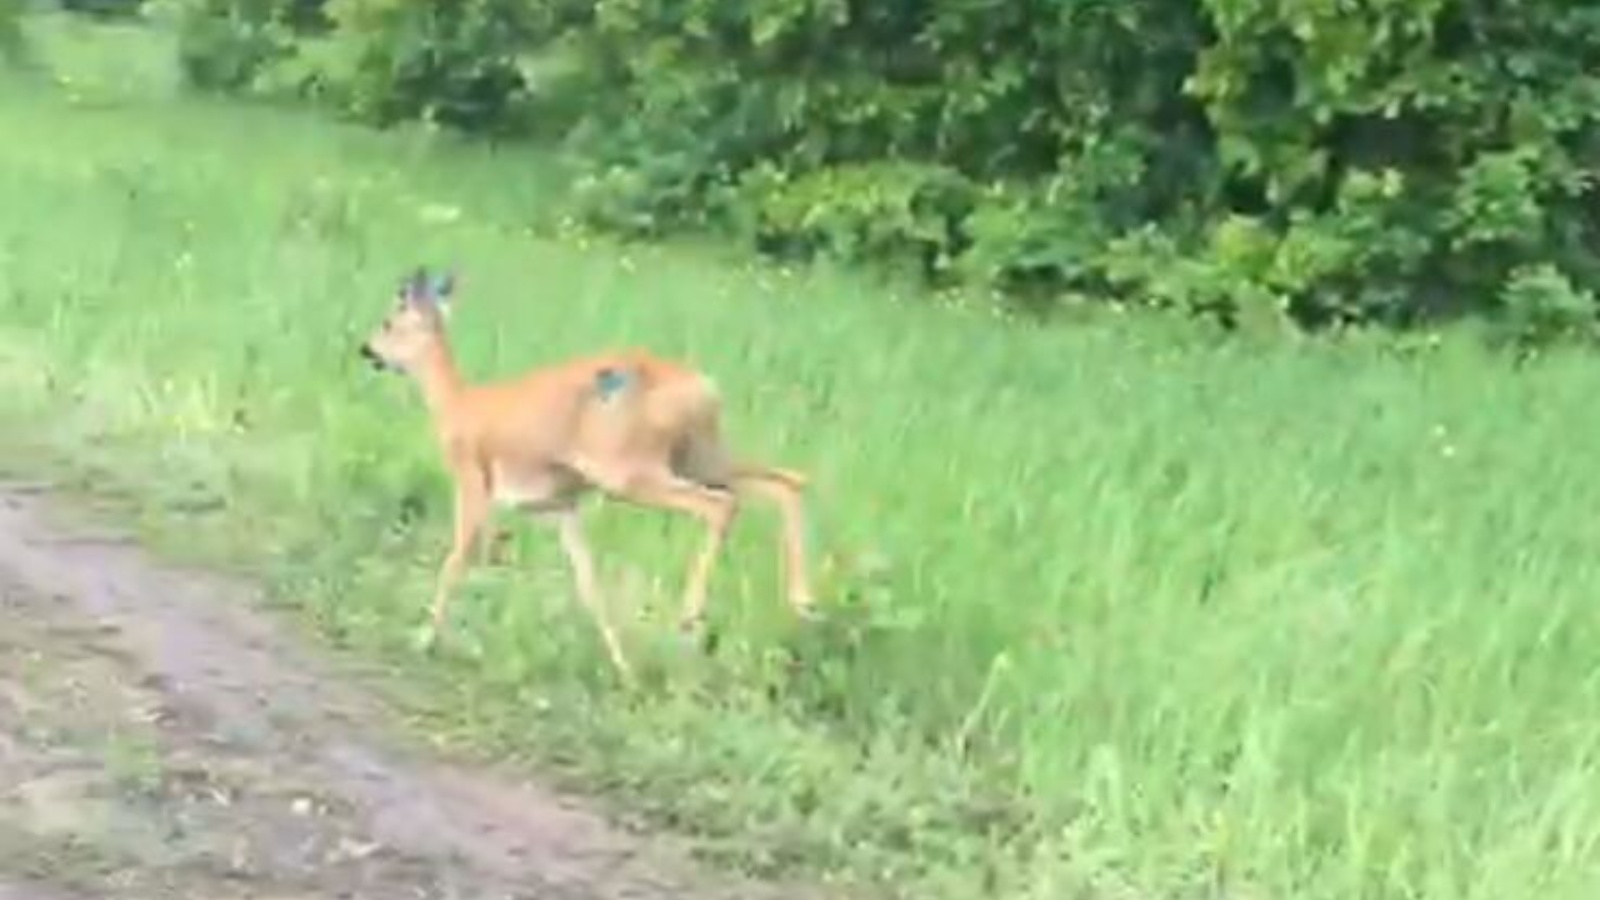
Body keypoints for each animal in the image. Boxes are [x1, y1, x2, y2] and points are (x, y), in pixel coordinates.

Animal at [358, 265, 819, 679]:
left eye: (389, 322)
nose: (367, 350)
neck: (456, 403)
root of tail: (706, 388)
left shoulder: (472, 475)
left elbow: (457, 558)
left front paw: (424, 638)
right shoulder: (562, 504)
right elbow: (589, 585)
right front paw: (624, 670)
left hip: (630, 470)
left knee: (722, 504)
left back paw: (691, 616)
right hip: (700, 455)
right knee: (787, 481)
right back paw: (803, 602)